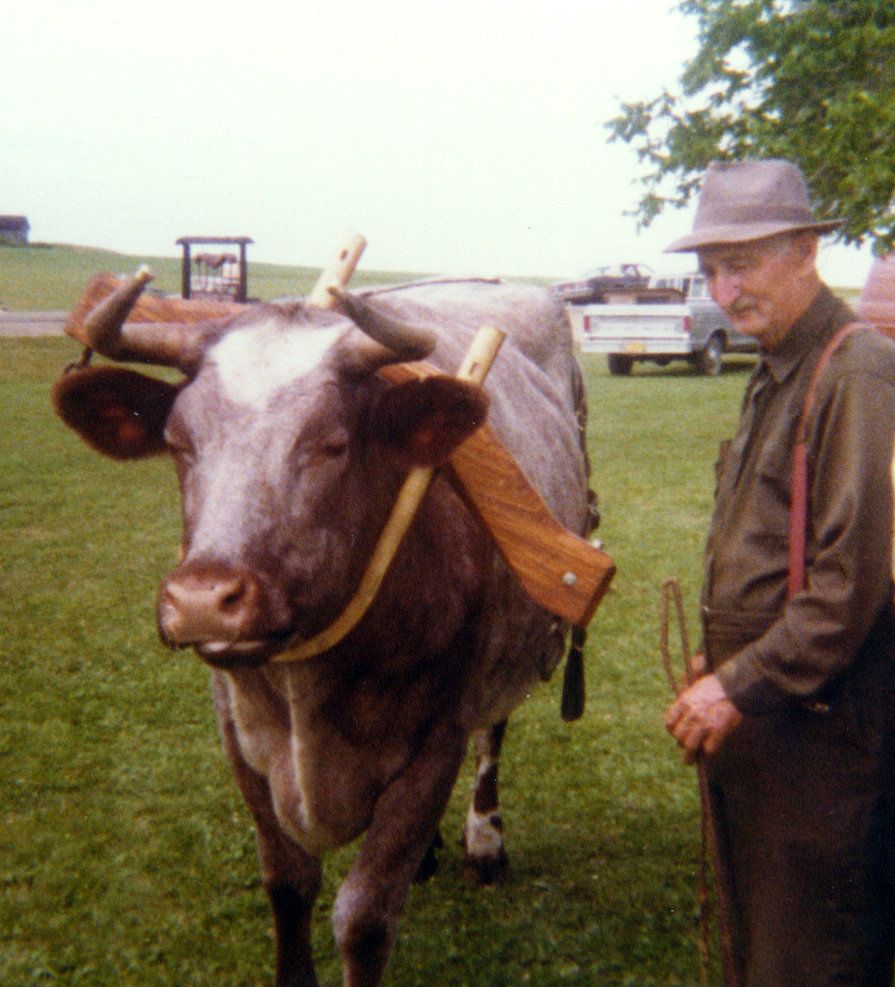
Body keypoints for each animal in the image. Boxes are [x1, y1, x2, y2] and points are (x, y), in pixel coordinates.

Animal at [52, 272, 597, 987]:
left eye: (331, 443)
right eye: (177, 442)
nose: (203, 600)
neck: (305, 693)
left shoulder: (437, 740)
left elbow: (364, 917)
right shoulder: (238, 735)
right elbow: (288, 882)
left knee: (494, 733)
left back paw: (484, 840)